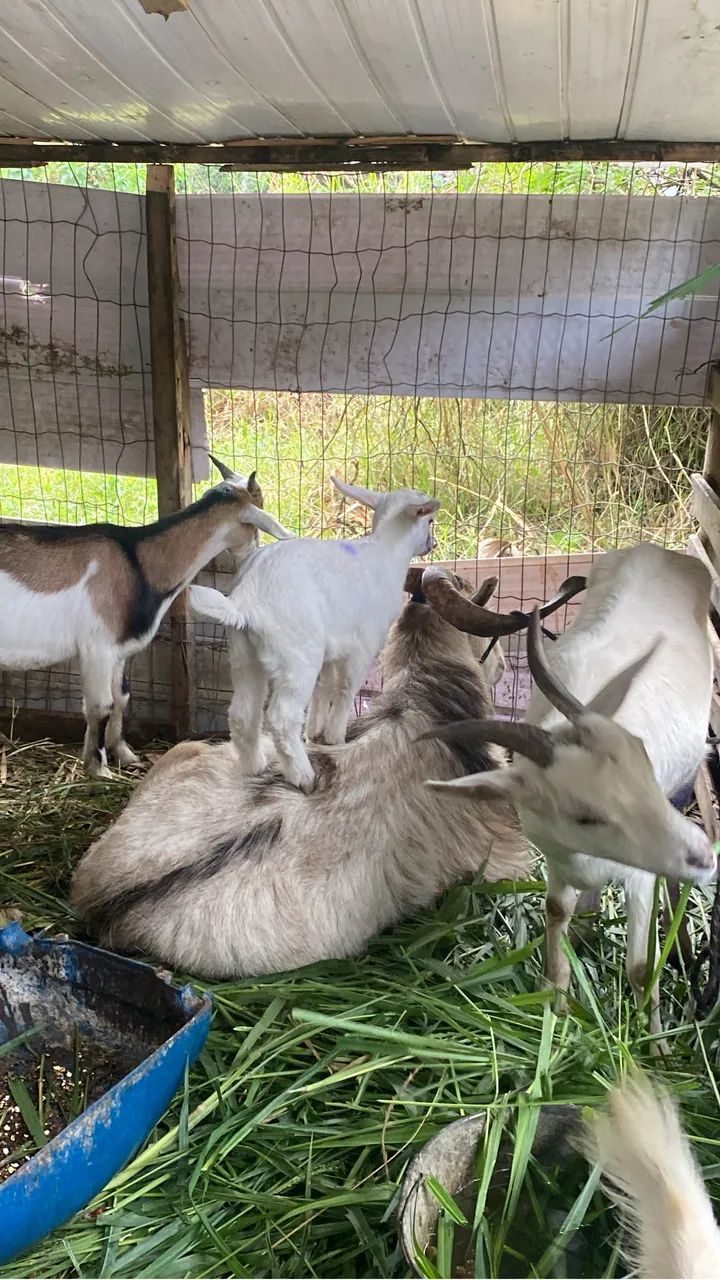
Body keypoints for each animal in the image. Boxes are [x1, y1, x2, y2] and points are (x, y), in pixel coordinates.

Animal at [0, 457, 291, 778]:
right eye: (256, 521)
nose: (253, 554)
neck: (139, 563)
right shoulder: (97, 648)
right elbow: (101, 706)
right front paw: (99, 771)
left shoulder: (118, 651)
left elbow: (121, 697)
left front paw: (123, 753)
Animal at [189, 476, 442, 792]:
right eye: (429, 520)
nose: (433, 544)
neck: (386, 550)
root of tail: (246, 601)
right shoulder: (362, 646)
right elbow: (345, 690)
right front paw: (335, 738)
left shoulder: (333, 648)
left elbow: (324, 688)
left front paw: (316, 734)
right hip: (297, 655)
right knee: (282, 718)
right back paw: (303, 776)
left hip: (243, 654)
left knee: (243, 713)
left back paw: (253, 767)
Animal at [425, 544, 717, 1050]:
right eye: (584, 815)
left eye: (644, 764)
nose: (703, 855)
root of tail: (659, 552)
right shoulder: (559, 860)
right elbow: (556, 912)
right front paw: (556, 1008)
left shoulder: (640, 874)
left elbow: (641, 968)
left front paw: (657, 1047)